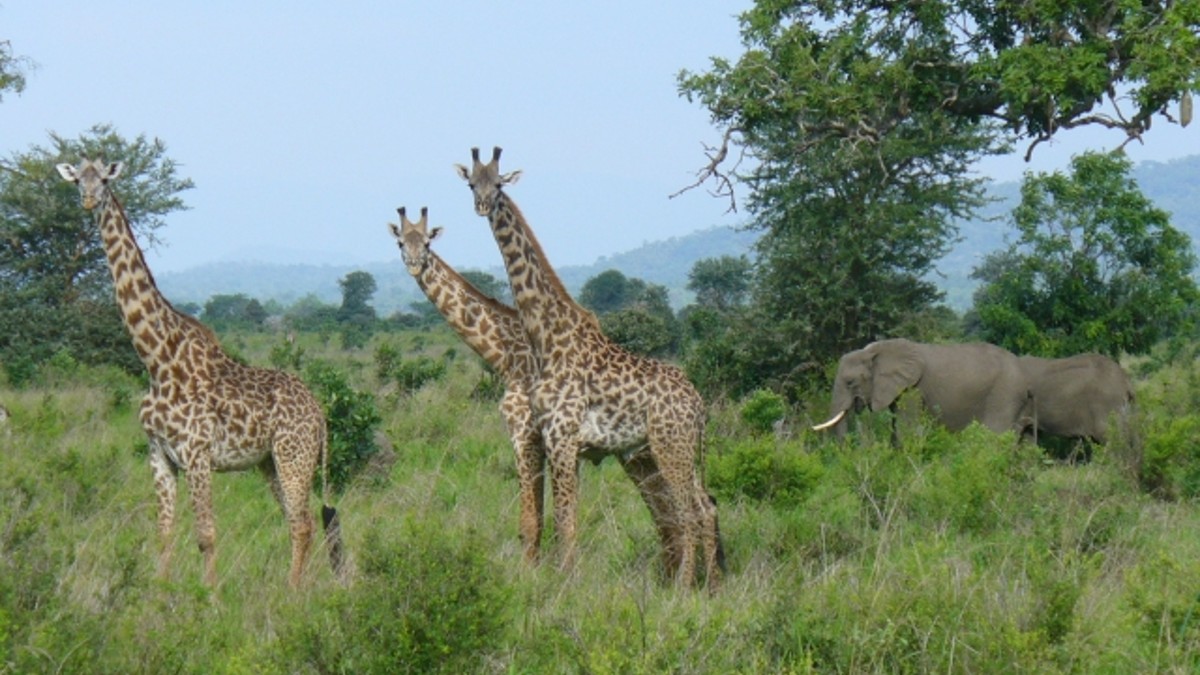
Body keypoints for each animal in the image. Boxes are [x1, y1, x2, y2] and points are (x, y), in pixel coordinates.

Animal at [58, 157, 345, 583]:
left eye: (105, 179)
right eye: (78, 179)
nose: (89, 200)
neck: (157, 360)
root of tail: (320, 412)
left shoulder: (196, 454)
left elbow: (205, 535)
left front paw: (209, 596)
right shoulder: (159, 454)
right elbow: (164, 532)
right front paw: (159, 593)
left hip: (295, 455)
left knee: (303, 522)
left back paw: (294, 592)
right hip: (270, 462)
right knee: (296, 521)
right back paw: (295, 587)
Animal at [388, 204, 691, 566]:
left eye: (427, 243)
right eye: (401, 243)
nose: (414, 264)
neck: (505, 354)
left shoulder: (524, 433)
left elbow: (531, 522)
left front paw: (528, 575)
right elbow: (545, 518)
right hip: (640, 455)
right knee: (670, 518)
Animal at [456, 145, 720, 583]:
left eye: (499, 184)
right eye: (471, 184)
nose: (482, 206)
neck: (546, 337)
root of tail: (699, 405)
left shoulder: (562, 437)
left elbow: (566, 520)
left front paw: (566, 583)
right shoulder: (553, 439)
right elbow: (561, 518)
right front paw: (560, 577)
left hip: (670, 447)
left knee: (690, 514)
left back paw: (685, 589)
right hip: (680, 450)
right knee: (706, 506)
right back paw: (711, 585)